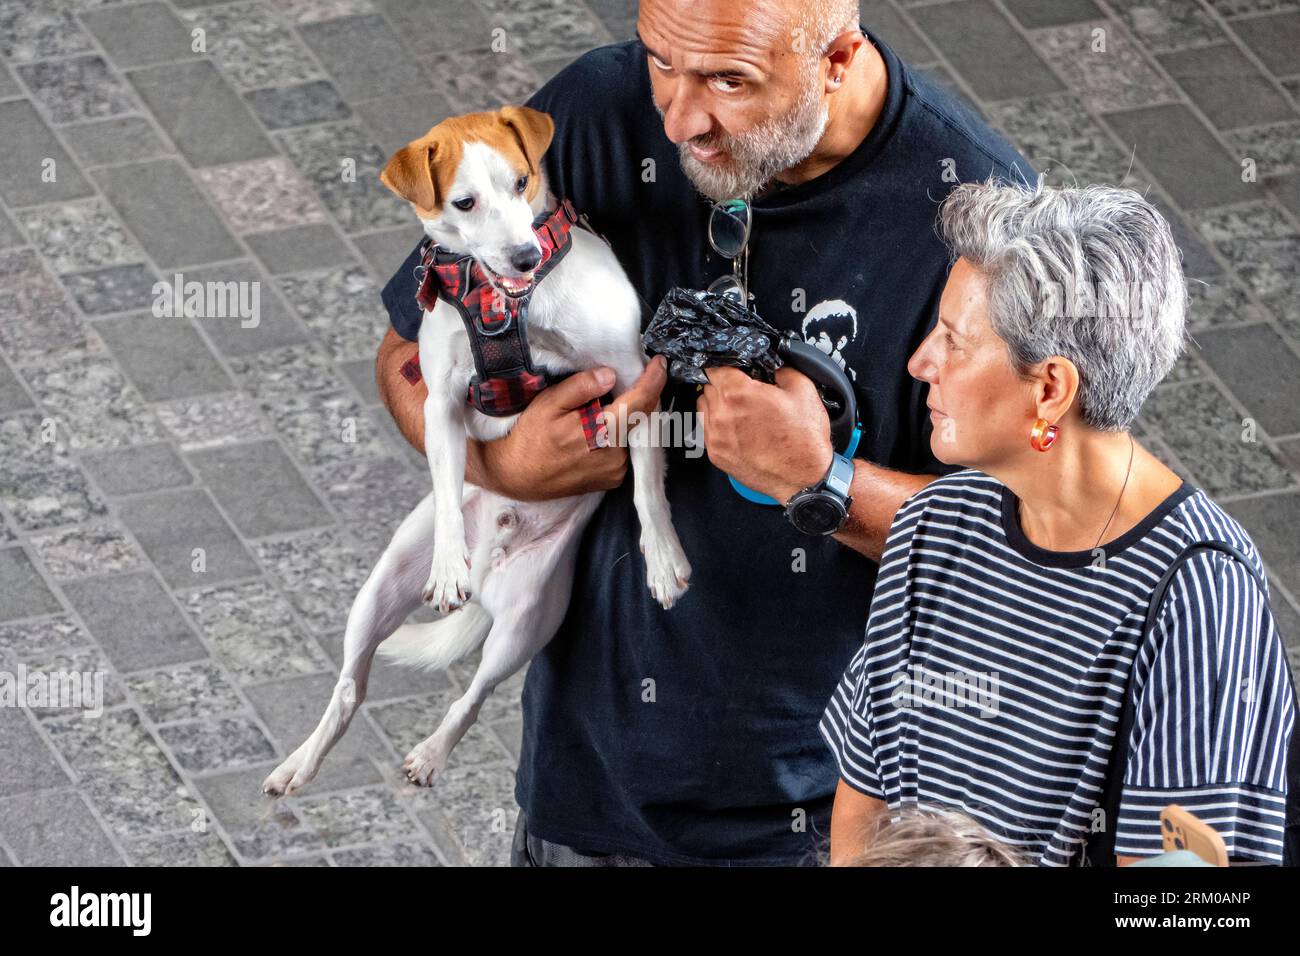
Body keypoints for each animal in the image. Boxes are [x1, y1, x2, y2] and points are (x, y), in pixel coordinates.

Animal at [261, 104, 691, 796]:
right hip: (378, 591)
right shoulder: (439, 403)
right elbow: (444, 478)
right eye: (465, 202)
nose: (523, 255)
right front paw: (447, 565)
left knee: (473, 696)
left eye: (522, 182)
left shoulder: (634, 379)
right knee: (351, 689)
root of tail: (495, 559)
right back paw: (303, 762)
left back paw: (432, 751)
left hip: (526, 623)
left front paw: (662, 559)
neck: (508, 304)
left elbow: (649, 487)